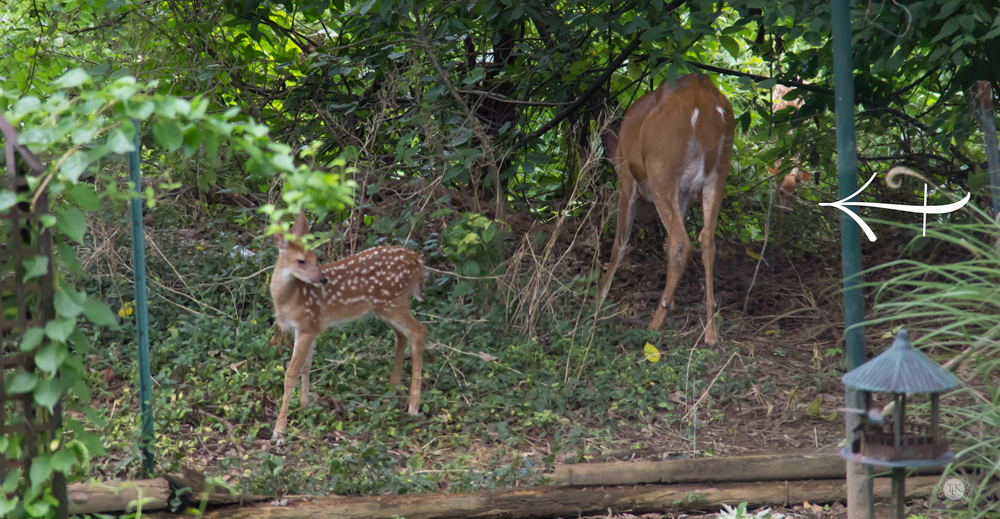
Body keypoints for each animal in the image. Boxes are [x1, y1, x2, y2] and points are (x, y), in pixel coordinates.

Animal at [268, 212, 424, 442]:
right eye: (301, 260)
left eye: (315, 258)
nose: (322, 279)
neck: (290, 299)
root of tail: (419, 263)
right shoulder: (312, 326)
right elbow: (306, 366)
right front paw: (305, 405)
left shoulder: (306, 325)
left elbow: (290, 374)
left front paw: (279, 430)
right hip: (386, 307)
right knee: (402, 335)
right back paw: (392, 390)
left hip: (393, 302)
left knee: (419, 331)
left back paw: (413, 406)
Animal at [596, 74, 740, 350]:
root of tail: (701, 98)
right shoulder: (685, 193)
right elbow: (668, 248)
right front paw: (672, 303)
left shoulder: (626, 183)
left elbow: (620, 243)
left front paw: (600, 295)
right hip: (718, 172)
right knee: (706, 240)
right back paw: (710, 333)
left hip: (660, 167)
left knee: (682, 240)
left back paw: (655, 324)